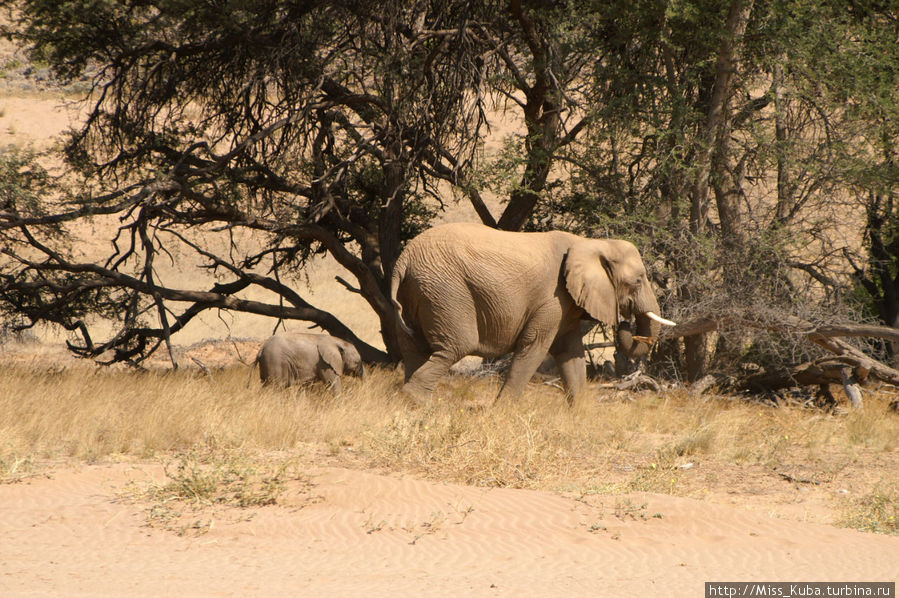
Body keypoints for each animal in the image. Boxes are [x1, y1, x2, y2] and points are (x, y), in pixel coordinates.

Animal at [388, 224, 676, 404]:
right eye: (638, 281)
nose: (625, 323)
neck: (590, 244)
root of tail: (403, 261)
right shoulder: (553, 299)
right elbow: (535, 347)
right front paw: (500, 413)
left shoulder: (566, 304)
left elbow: (570, 352)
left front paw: (581, 414)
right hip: (445, 290)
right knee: (457, 346)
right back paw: (417, 402)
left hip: (418, 292)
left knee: (414, 348)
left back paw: (412, 403)